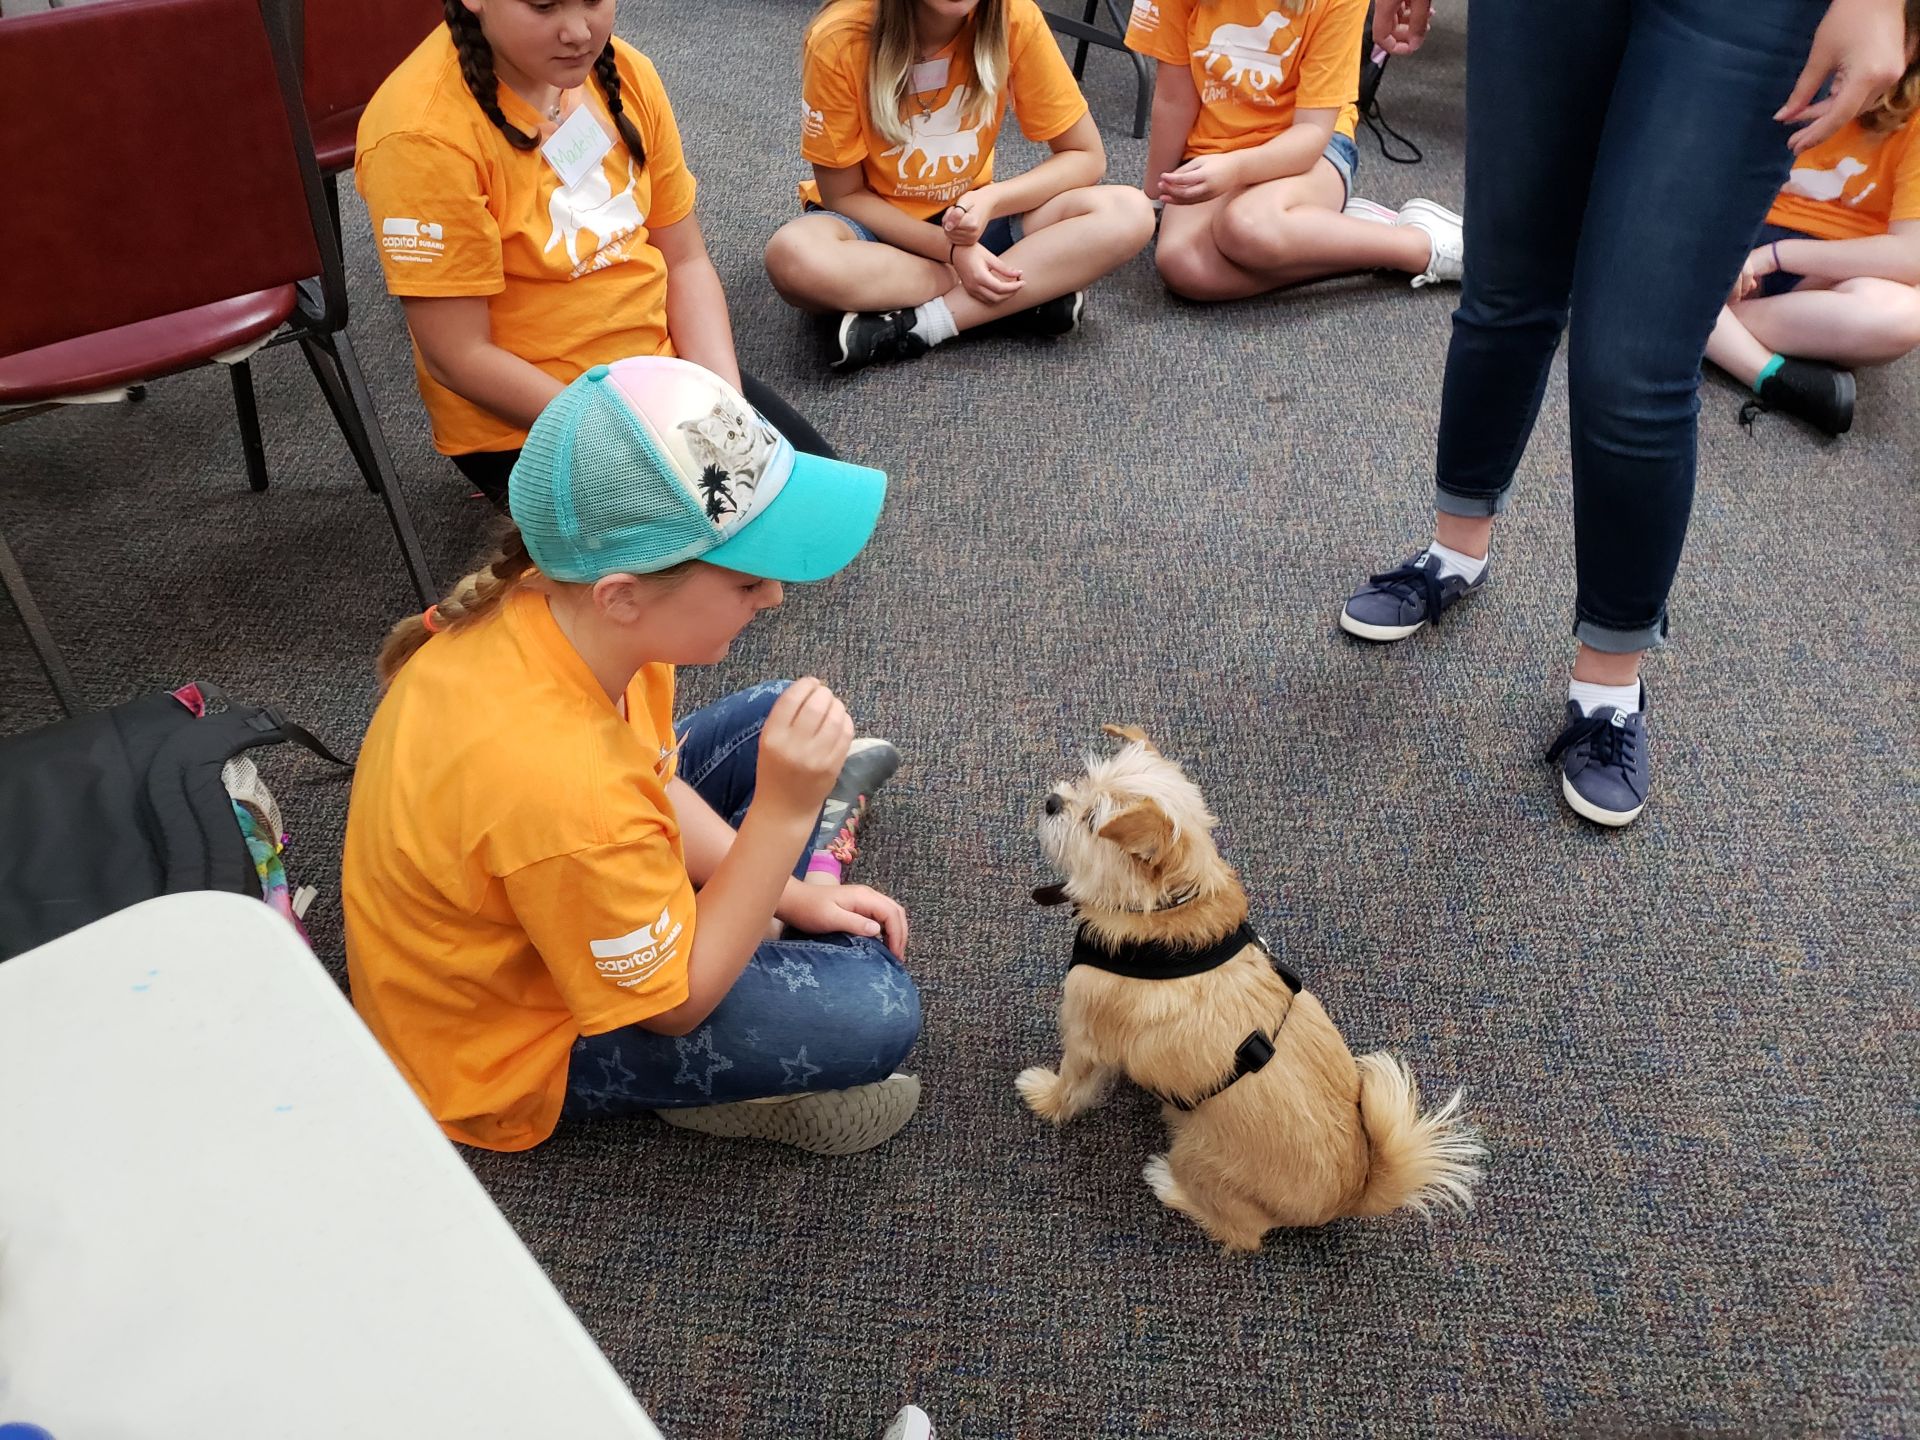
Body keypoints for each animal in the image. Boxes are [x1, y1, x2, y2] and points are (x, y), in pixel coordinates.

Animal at [1021, 725, 1482, 1259]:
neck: (1165, 912)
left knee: (1241, 1234)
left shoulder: (1084, 1035)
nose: (1053, 801)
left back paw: (1168, 1184)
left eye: (1094, 820)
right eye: (1084, 781)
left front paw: (1044, 1098)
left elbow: (1071, 1085)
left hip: (1198, 1154)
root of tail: (1351, 1196)